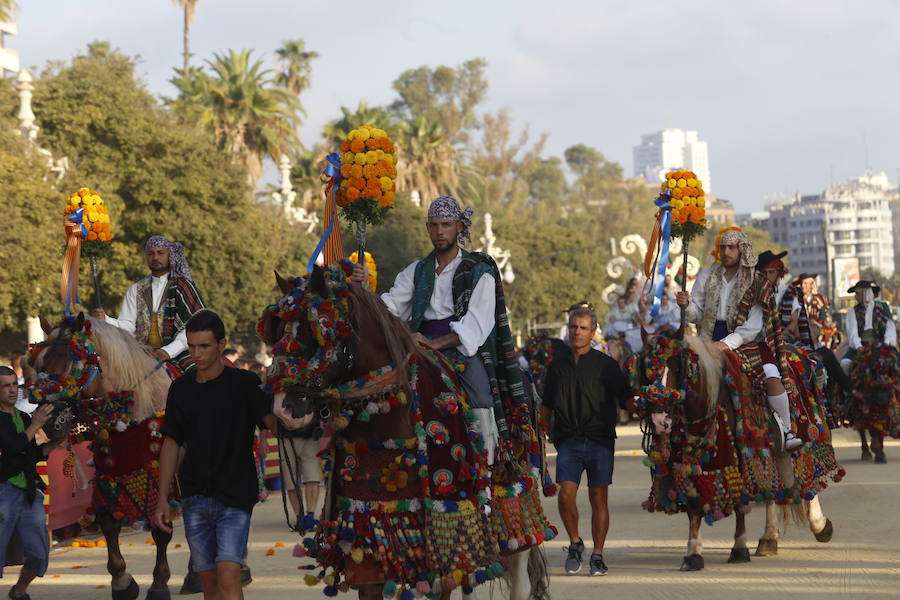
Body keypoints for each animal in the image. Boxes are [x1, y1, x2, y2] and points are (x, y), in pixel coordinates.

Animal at [25, 314, 178, 600]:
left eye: (72, 363)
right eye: (37, 363)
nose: (49, 423)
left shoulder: (164, 476)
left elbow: (161, 529)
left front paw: (160, 584)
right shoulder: (109, 475)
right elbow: (108, 524)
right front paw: (122, 582)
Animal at [256, 262, 556, 600]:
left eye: (313, 332)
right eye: (276, 333)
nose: (283, 409)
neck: (385, 418)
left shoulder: (441, 532)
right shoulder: (365, 524)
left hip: (514, 490)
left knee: (519, 569)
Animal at [624, 332, 844, 572]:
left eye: (678, 367)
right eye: (644, 370)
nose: (660, 421)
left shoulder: (741, 457)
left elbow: (740, 502)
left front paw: (739, 548)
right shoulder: (688, 465)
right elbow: (694, 506)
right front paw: (693, 554)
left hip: (805, 439)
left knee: (807, 479)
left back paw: (820, 525)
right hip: (770, 454)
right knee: (772, 490)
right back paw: (769, 538)